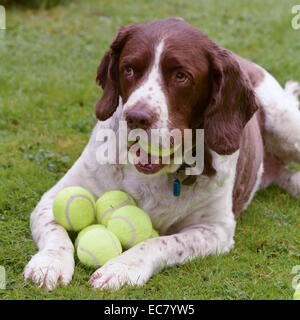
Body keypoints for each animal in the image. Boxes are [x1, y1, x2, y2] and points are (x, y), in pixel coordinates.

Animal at [23, 18, 300, 292]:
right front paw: (49, 264)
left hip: (284, 123)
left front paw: (122, 267)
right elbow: (55, 229)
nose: (136, 117)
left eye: (181, 76)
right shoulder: (54, 197)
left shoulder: (215, 229)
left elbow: (160, 242)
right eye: (128, 69)